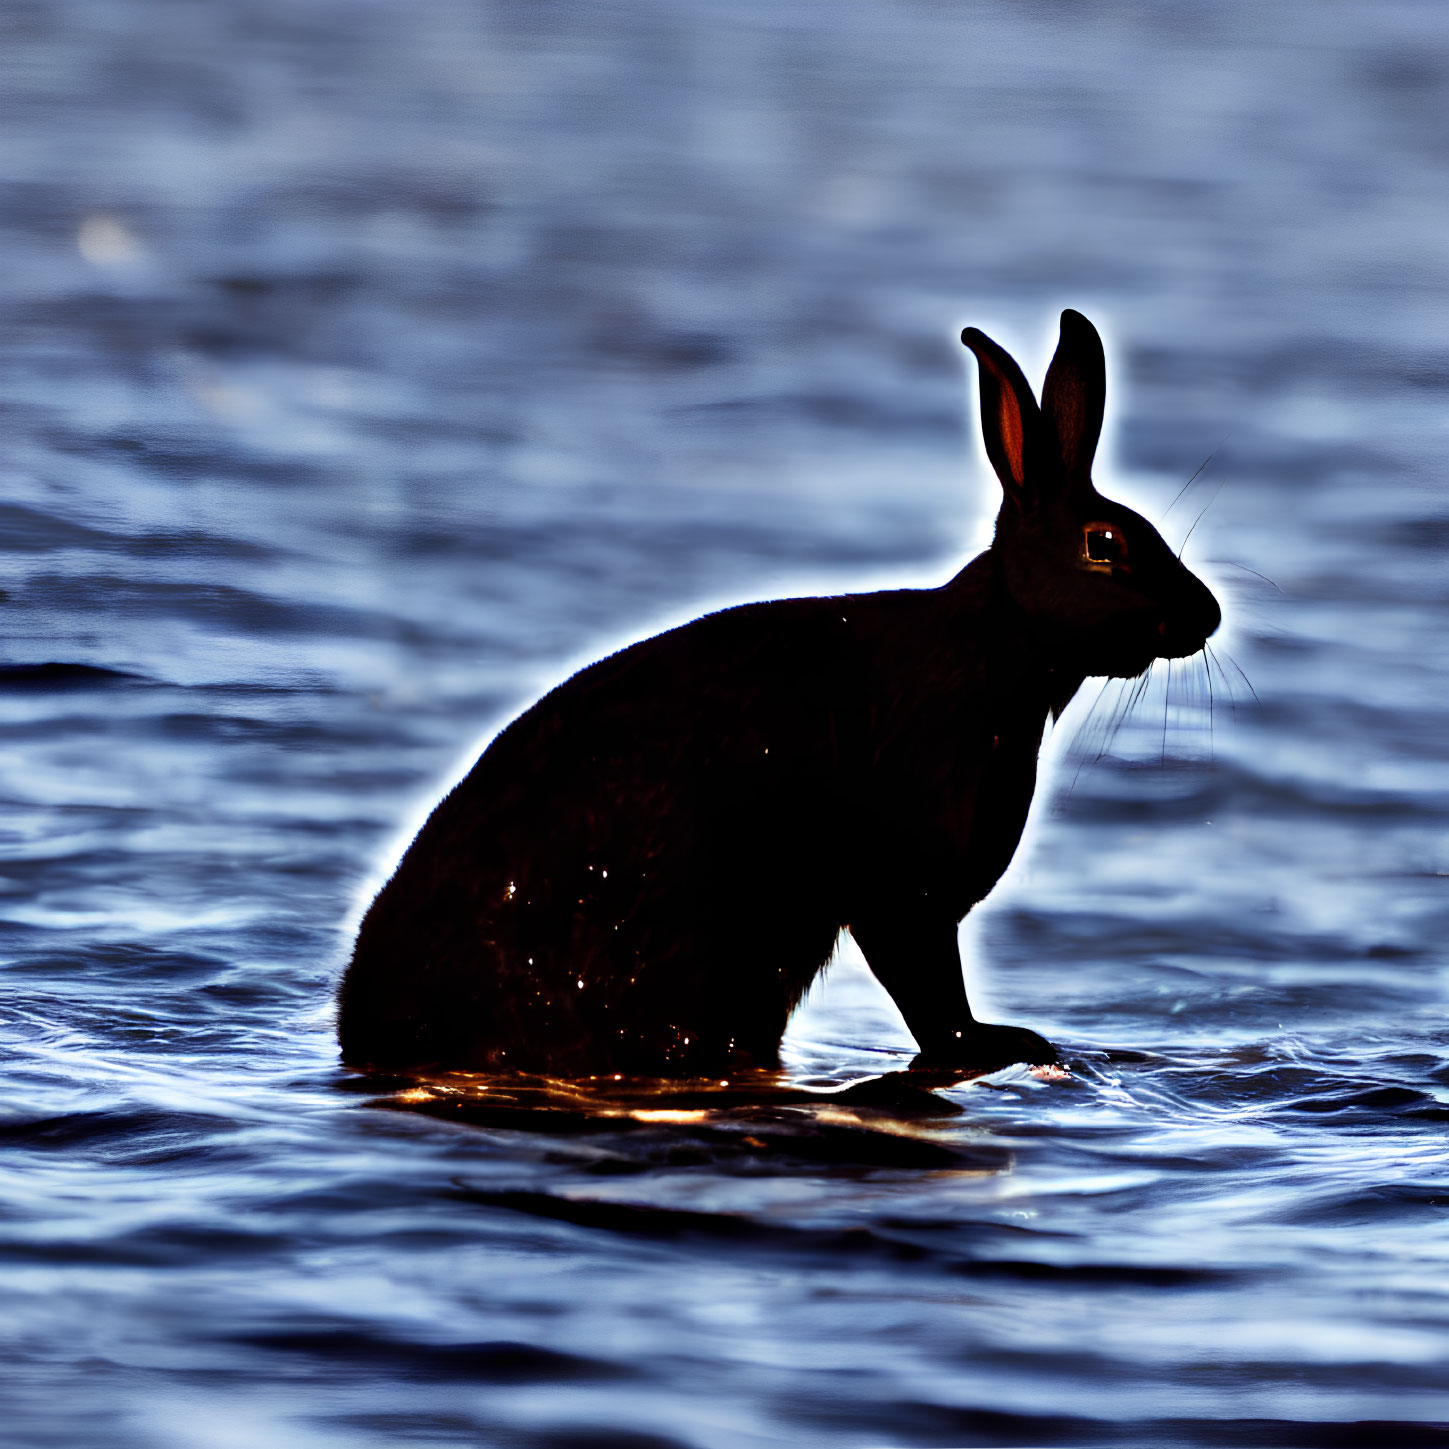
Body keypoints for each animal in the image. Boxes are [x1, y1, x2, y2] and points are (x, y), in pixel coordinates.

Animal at [333, 314, 1217, 1078]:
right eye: (1103, 544)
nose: (1206, 615)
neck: (995, 654)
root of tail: (366, 1022)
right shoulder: (900, 895)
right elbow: (933, 1000)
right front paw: (1004, 1044)